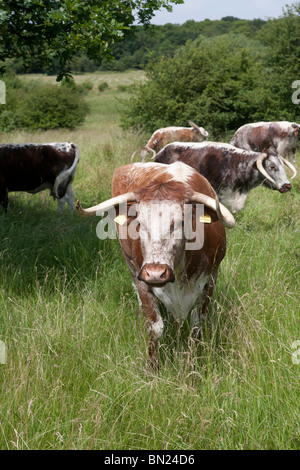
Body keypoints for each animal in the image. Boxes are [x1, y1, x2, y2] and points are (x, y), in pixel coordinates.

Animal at [76, 163, 236, 370]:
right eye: (139, 223)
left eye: (181, 221)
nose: (155, 273)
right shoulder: (143, 279)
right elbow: (154, 327)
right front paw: (152, 368)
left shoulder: (210, 279)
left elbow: (197, 325)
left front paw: (193, 364)